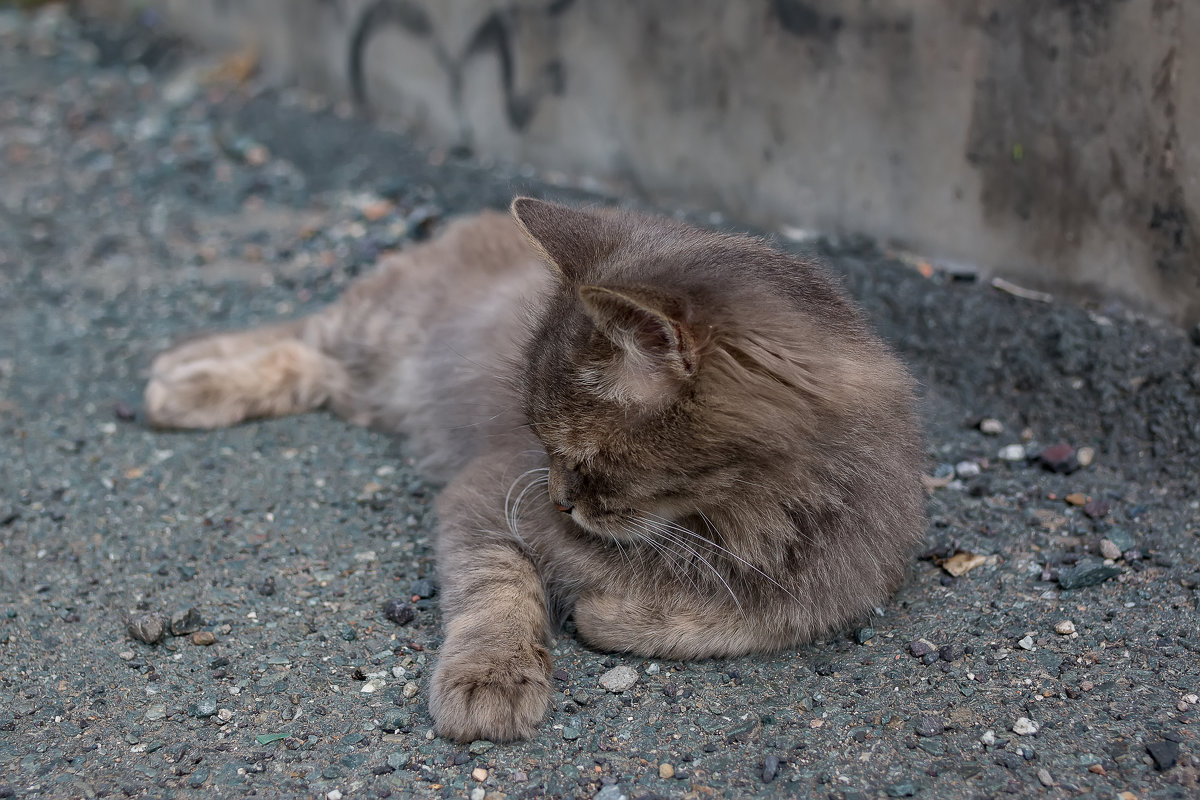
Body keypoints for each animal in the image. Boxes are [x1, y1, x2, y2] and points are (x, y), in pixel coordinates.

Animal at [142, 196, 926, 743]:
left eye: (582, 458)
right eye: (540, 445)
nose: (558, 499)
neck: (727, 523)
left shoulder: (845, 580)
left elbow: (751, 619)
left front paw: (614, 612)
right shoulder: (484, 497)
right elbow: (498, 590)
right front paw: (493, 675)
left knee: (311, 365)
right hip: (379, 329)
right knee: (300, 335)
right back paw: (183, 379)